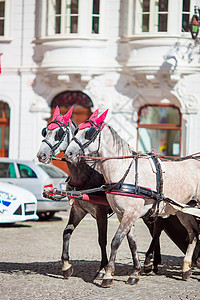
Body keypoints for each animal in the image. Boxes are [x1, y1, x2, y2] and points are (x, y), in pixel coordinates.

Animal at [65, 109, 200, 286]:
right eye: (75, 131)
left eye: (89, 133)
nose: (69, 153)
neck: (124, 172)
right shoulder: (123, 214)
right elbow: (132, 242)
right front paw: (135, 273)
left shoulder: (130, 213)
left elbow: (116, 241)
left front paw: (108, 274)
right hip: (184, 209)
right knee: (193, 233)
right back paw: (186, 268)